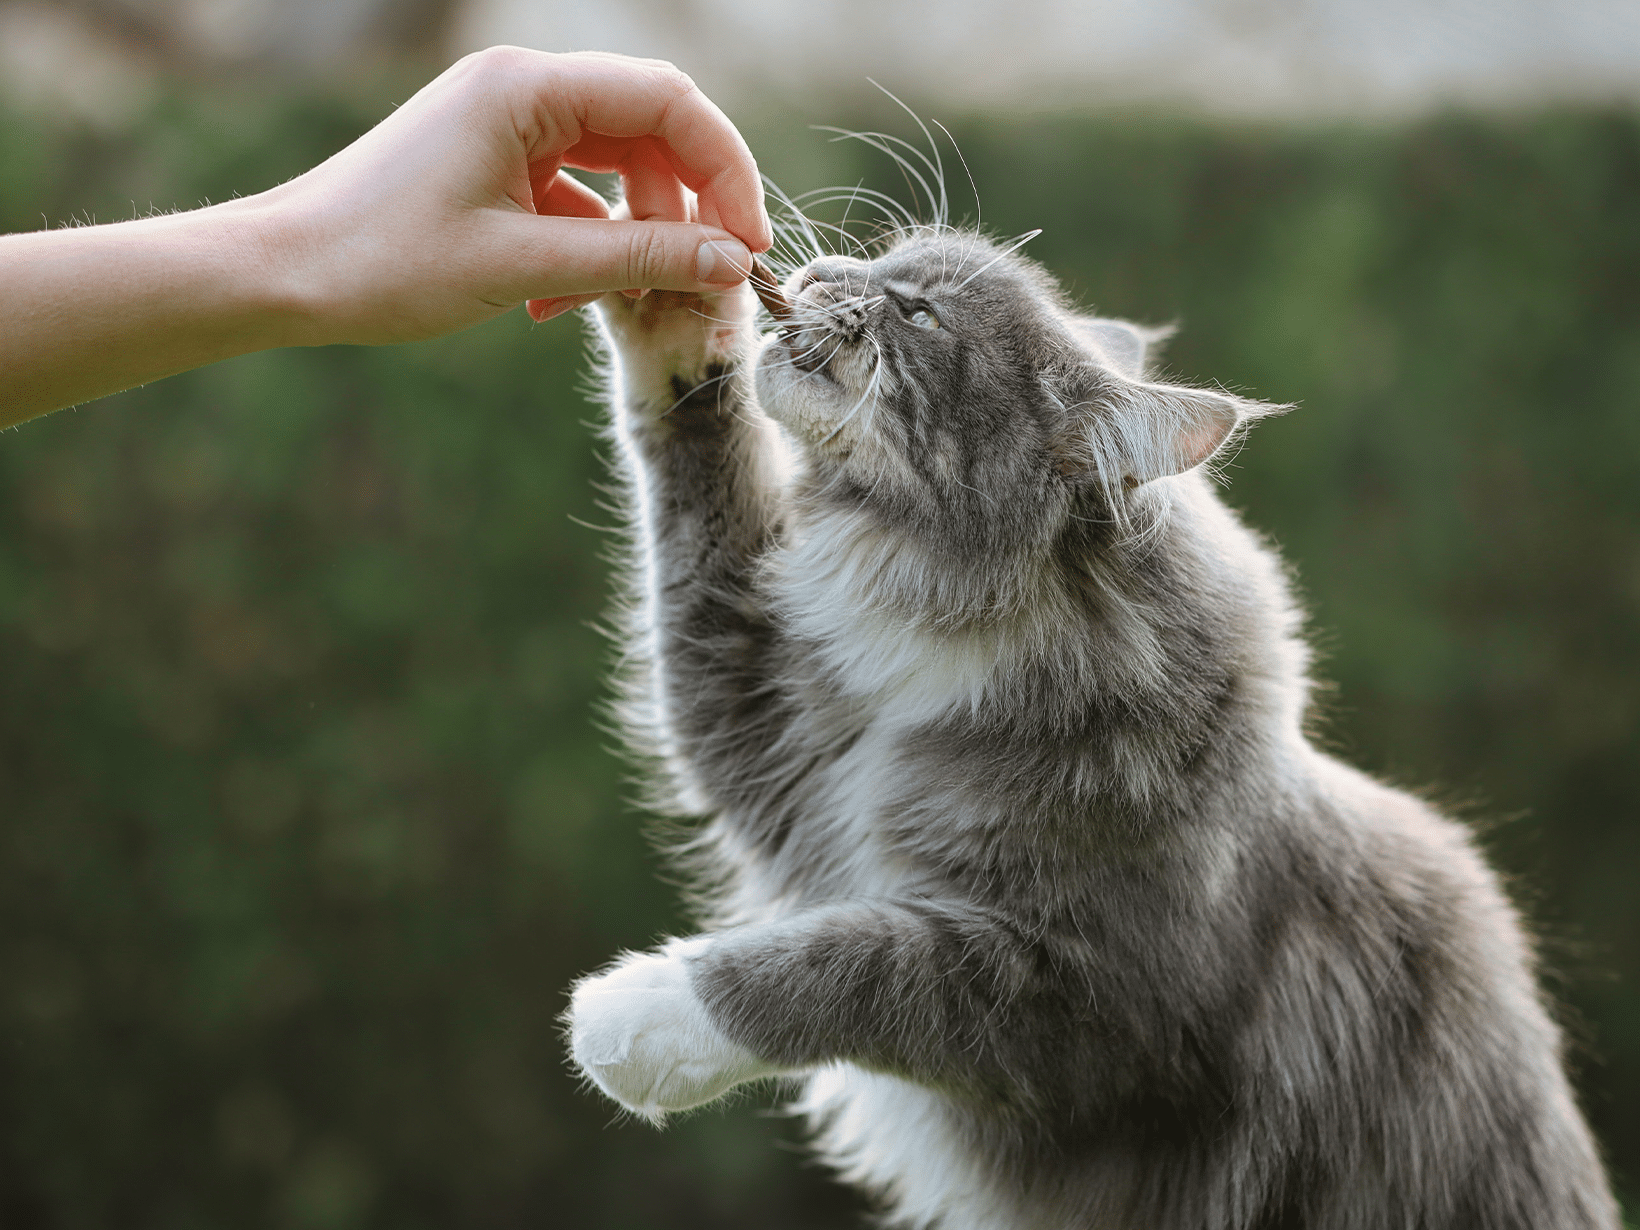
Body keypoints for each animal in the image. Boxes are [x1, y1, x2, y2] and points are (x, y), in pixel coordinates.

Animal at [564, 231, 1613, 1230]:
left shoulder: (1097, 1002)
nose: (819, 270)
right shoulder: (771, 730)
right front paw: (671, 307)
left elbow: (854, 966)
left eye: (919, 313)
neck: (957, 634)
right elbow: (696, 474)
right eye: (885, 255)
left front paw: (640, 1012)